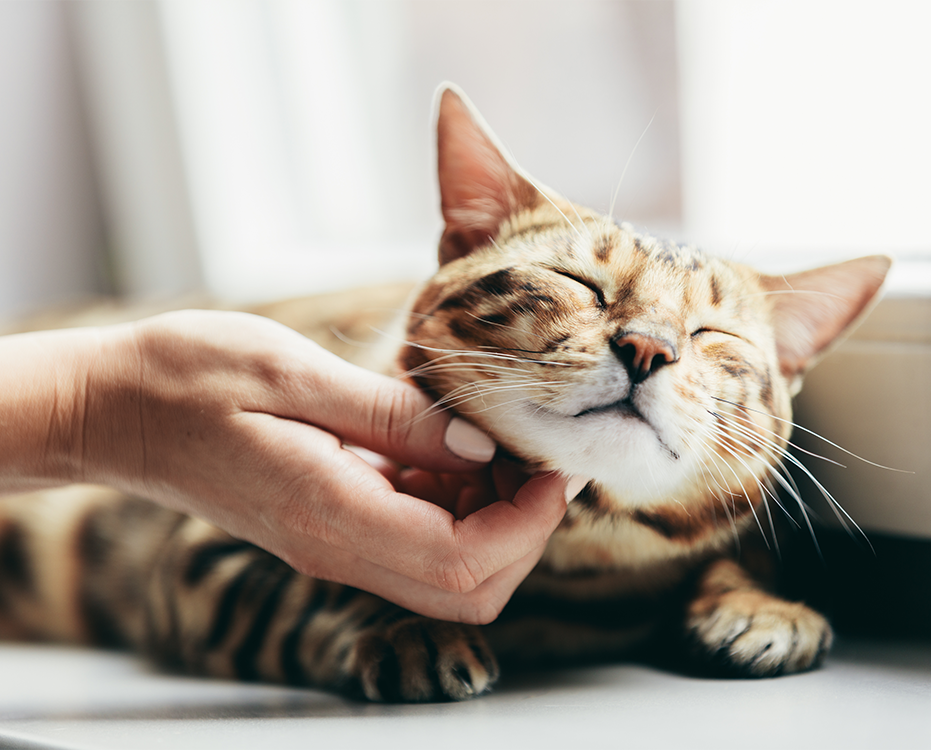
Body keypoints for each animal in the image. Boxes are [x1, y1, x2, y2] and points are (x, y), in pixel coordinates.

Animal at [0, 85, 892, 704]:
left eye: (713, 337)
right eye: (578, 283)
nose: (648, 347)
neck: (573, 570)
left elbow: (734, 551)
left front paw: (762, 605)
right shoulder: (200, 554)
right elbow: (309, 588)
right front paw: (406, 626)